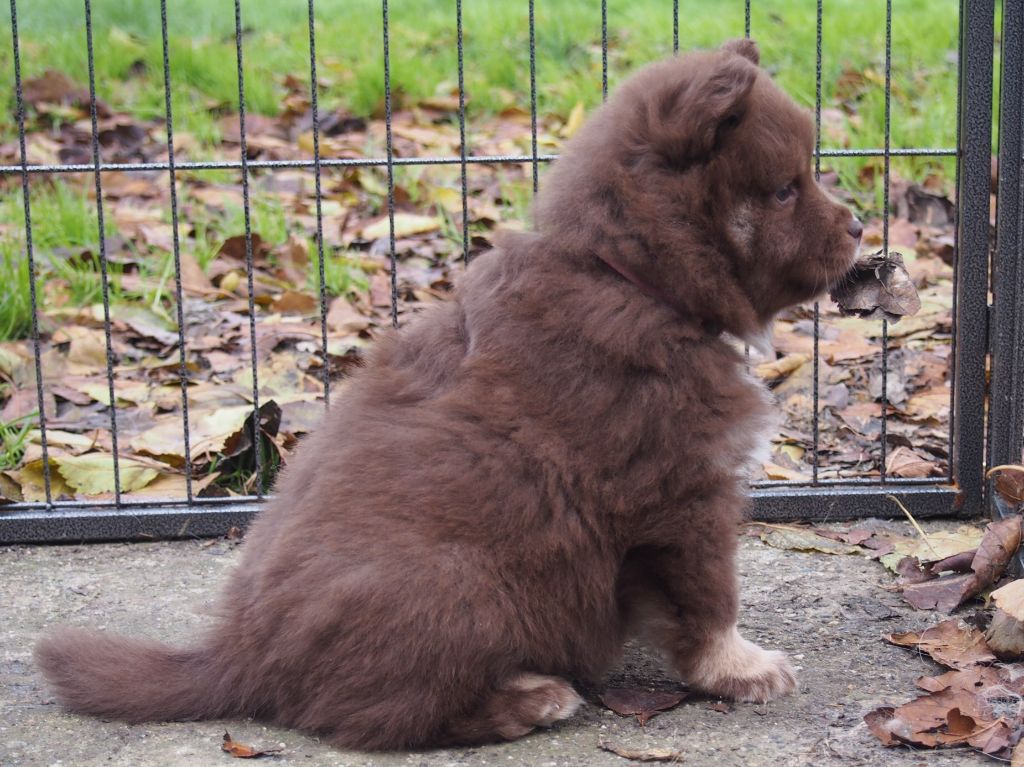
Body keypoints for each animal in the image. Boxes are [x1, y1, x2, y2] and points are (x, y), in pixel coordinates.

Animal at [36, 38, 862, 750]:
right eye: (785, 188)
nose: (858, 226)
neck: (631, 277)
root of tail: (240, 654)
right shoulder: (682, 494)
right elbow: (712, 599)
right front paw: (742, 668)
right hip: (466, 583)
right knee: (378, 714)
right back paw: (530, 698)